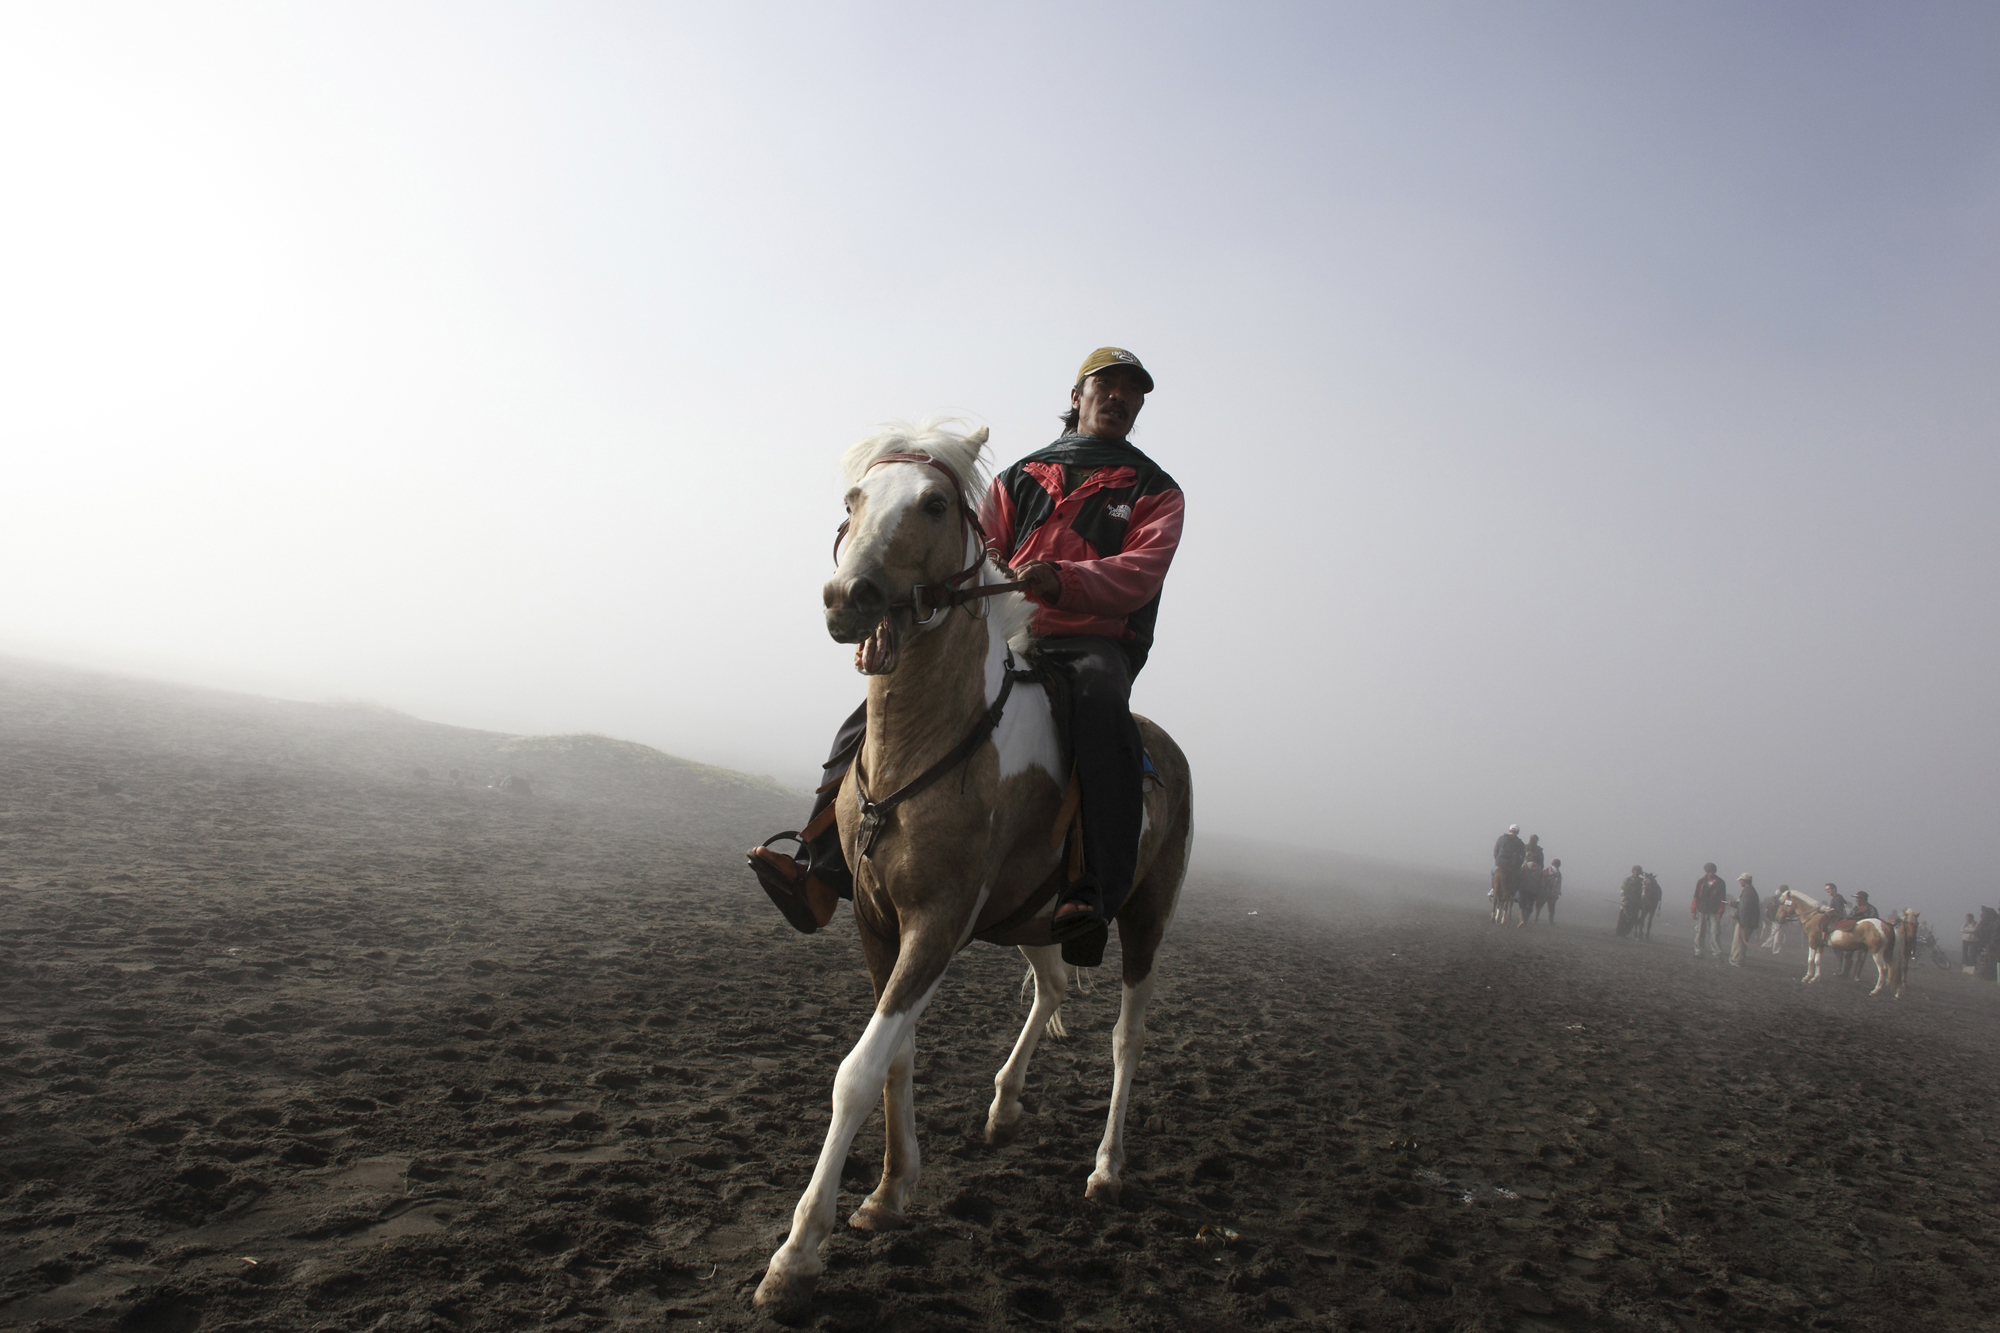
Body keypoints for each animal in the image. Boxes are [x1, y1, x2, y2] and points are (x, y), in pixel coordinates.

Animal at [748, 420, 1184, 1312]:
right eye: (854, 498)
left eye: (934, 503)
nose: (848, 597)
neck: (935, 738)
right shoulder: (878, 922)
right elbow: (898, 1054)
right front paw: (889, 1192)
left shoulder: (937, 925)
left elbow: (857, 1069)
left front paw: (798, 1249)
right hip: (1035, 918)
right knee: (1052, 989)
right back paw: (1007, 1104)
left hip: (1144, 915)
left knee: (1126, 1036)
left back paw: (1106, 1168)